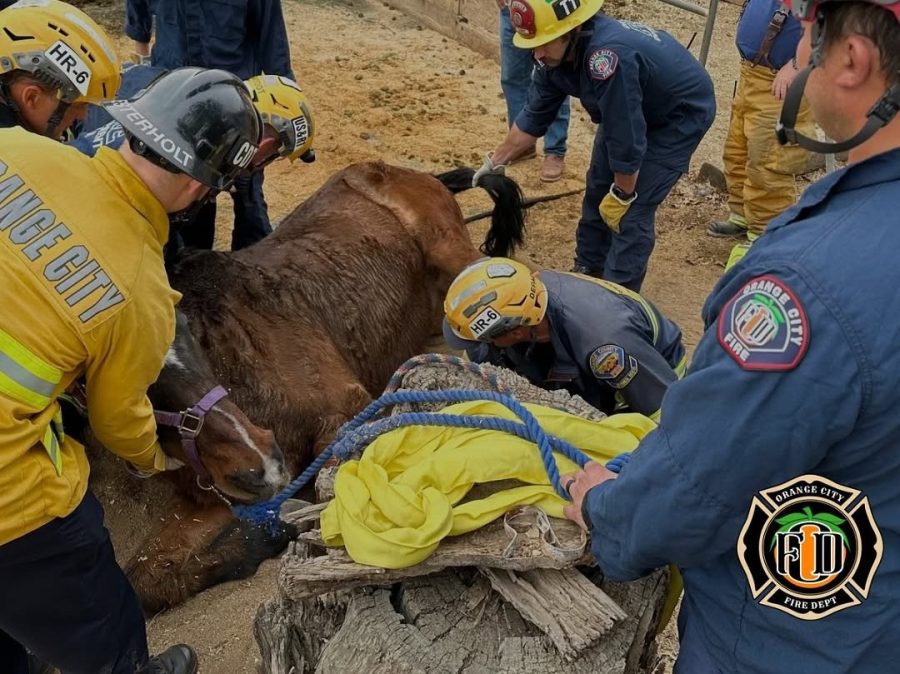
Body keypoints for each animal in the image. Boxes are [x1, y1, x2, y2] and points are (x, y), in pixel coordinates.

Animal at [121, 161, 528, 608]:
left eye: (188, 333)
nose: (262, 463)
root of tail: (413, 173)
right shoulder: (212, 497)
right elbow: (149, 580)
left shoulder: (345, 412)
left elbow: (331, 492)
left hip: (458, 260)